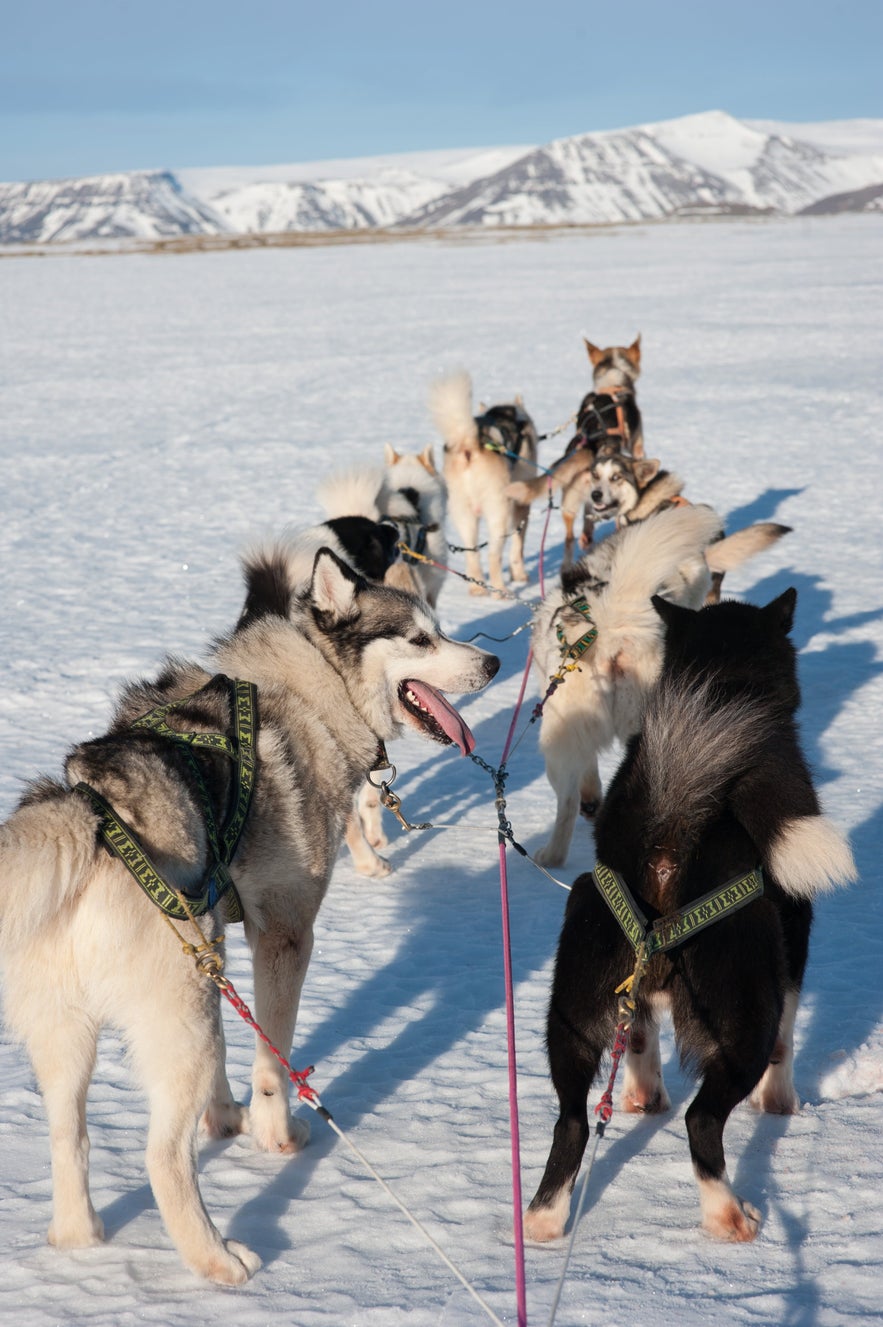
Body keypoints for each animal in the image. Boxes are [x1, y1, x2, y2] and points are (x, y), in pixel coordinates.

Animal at [0, 544, 496, 1279]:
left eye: (438, 629)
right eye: (419, 640)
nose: (491, 664)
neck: (314, 689)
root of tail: (85, 810)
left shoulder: (220, 938)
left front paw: (225, 1116)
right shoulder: (284, 933)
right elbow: (273, 1053)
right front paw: (275, 1133)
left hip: (79, 1031)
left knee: (71, 1138)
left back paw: (78, 1238)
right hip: (182, 1021)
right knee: (161, 1157)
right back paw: (216, 1259)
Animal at [523, 589, 855, 1242]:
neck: (720, 685)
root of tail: (668, 831)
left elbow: (640, 1037)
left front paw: (643, 1094)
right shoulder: (793, 940)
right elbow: (787, 1042)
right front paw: (781, 1105)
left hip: (571, 1010)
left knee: (571, 1120)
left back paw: (544, 1220)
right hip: (744, 1013)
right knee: (703, 1120)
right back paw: (728, 1215)